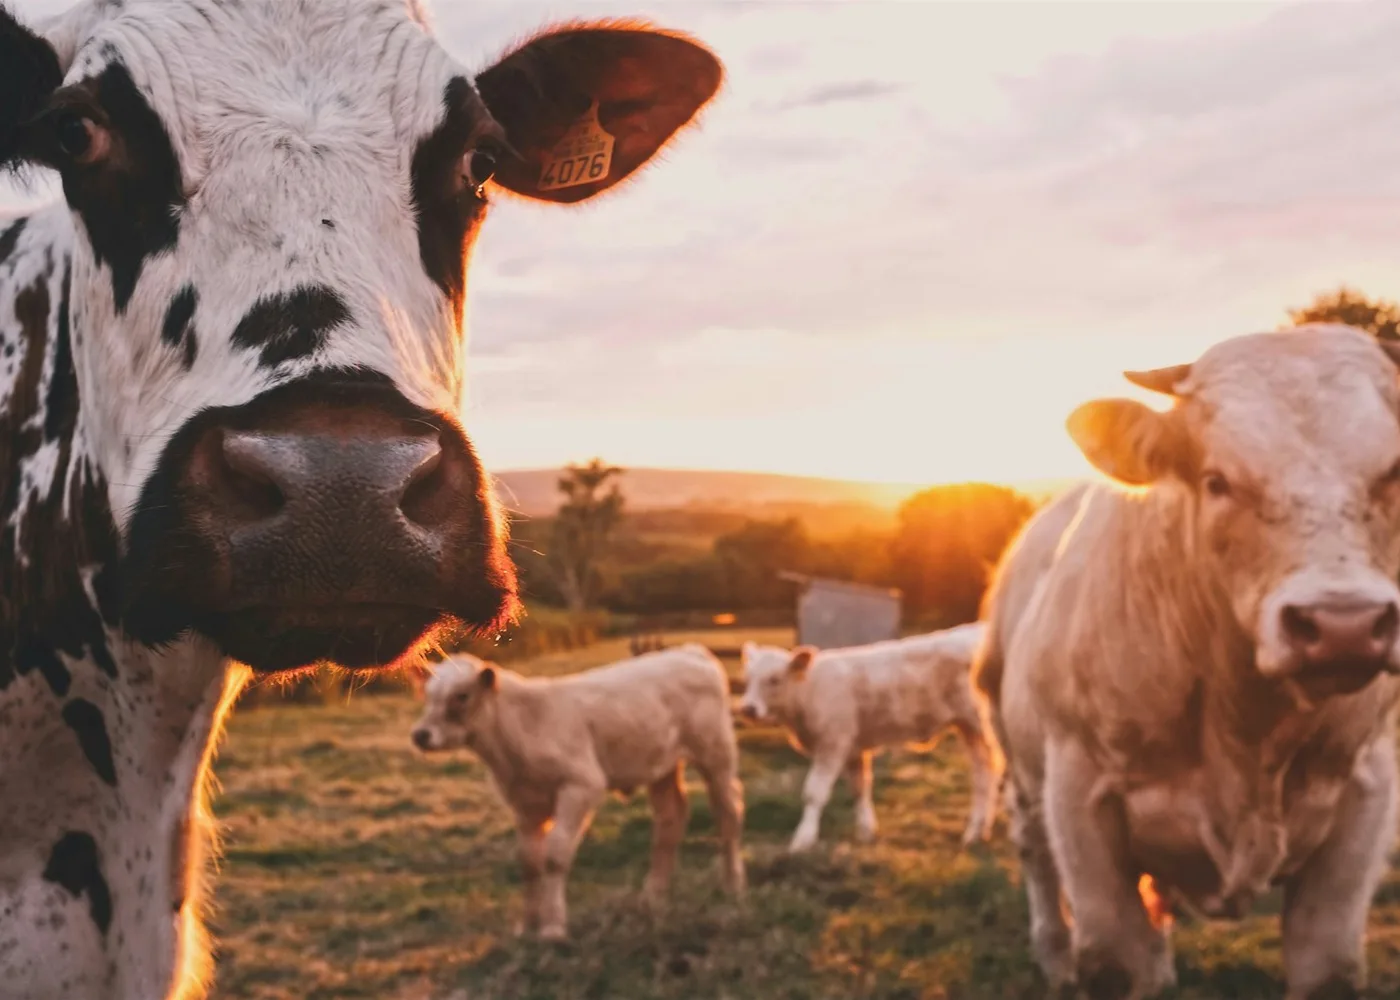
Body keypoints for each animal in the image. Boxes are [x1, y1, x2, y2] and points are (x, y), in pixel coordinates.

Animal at [410, 646, 746, 940]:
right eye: (428, 694)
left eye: (461, 696)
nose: (420, 735)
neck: (520, 731)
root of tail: (689, 651)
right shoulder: (524, 803)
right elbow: (529, 862)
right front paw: (527, 925)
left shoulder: (581, 785)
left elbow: (554, 856)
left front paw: (553, 927)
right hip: (661, 765)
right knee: (670, 819)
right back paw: (653, 896)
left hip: (716, 754)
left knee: (727, 812)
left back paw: (732, 885)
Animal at [738, 624, 1000, 852]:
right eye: (748, 679)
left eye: (774, 679)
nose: (748, 709)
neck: (809, 691)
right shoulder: (854, 748)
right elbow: (860, 788)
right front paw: (865, 831)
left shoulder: (832, 743)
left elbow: (814, 793)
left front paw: (803, 839)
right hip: (969, 728)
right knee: (983, 773)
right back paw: (978, 831)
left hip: (982, 724)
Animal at [975, 325, 1400, 1000]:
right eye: (1217, 480)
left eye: (1392, 471)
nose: (1344, 626)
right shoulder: (1080, 797)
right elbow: (1115, 958)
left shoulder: (1365, 791)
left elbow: (1327, 962)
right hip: (1017, 762)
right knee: (1035, 853)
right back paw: (1054, 955)